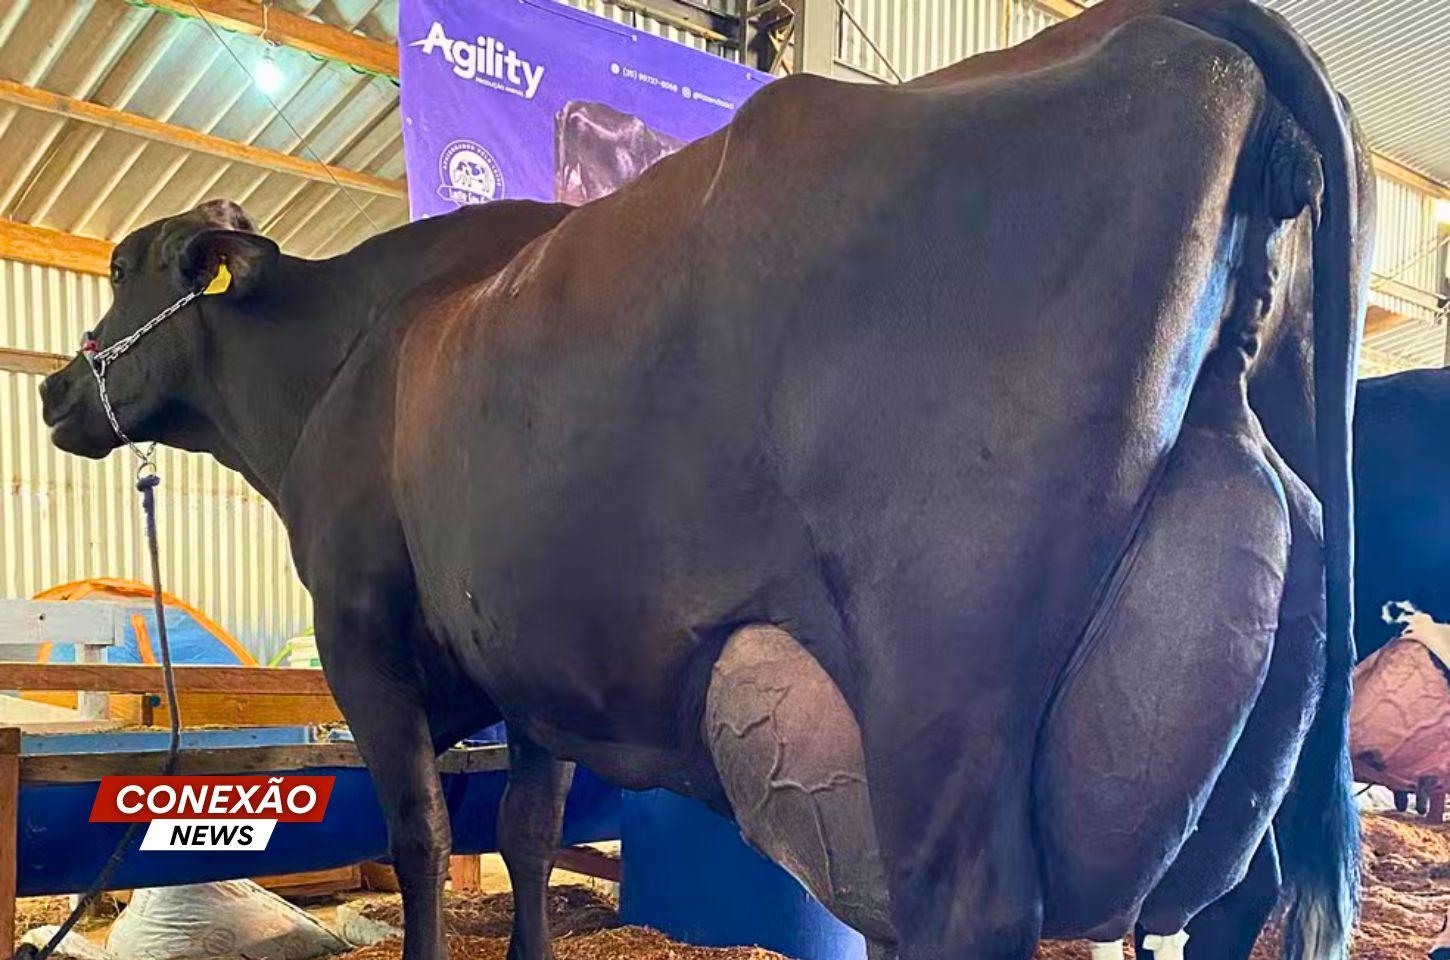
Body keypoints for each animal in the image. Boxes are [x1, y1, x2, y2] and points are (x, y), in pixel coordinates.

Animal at [38, 1, 1373, 958]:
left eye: (128, 268)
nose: (54, 393)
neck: (347, 356)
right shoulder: (537, 669)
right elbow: (527, 835)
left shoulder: (360, 630)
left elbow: (420, 837)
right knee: (1233, 898)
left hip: (946, 697)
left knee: (967, 907)